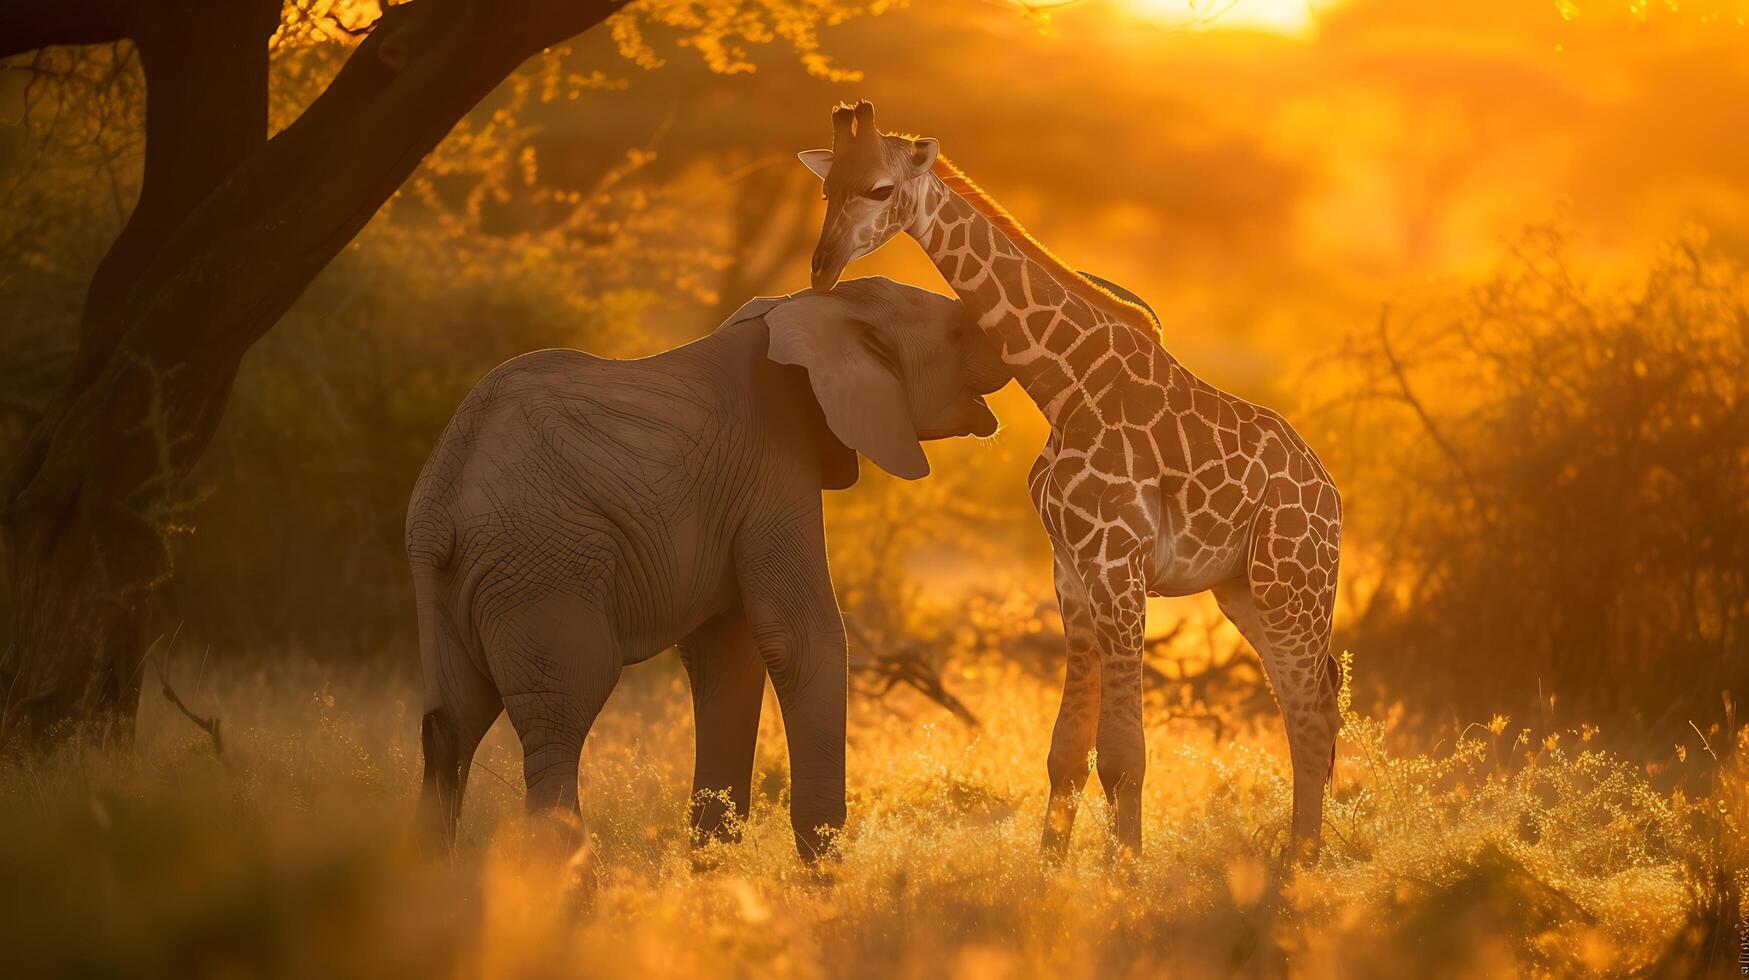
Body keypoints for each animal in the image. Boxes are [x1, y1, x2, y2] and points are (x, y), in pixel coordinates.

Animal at [409, 276, 1007, 857]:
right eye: (956, 332)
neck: (814, 303)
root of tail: (442, 494)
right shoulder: (774, 462)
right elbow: (798, 638)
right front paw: (823, 870)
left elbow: (728, 654)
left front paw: (713, 870)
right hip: (545, 566)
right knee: (561, 717)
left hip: (454, 582)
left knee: (451, 726)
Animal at [801, 103, 1343, 857]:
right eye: (827, 189)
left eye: (881, 189)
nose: (821, 266)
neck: (1064, 384)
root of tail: (1330, 494)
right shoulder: (1072, 573)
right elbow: (1067, 752)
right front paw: (1050, 869)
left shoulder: (1119, 564)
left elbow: (1123, 754)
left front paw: (1126, 871)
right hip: (1244, 591)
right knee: (1307, 704)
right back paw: (1297, 858)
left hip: (1291, 584)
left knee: (1313, 713)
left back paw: (1299, 866)